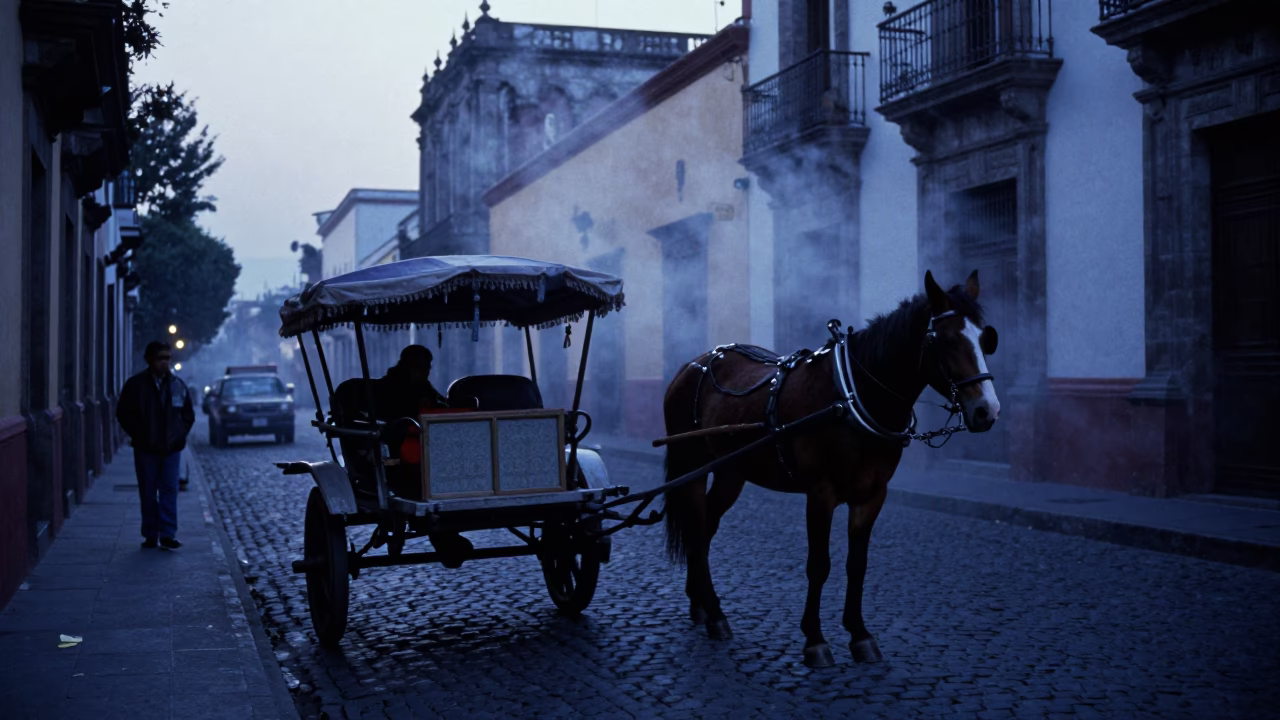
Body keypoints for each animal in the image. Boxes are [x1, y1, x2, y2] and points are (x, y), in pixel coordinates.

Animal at [661, 269, 1001, 668]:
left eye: (985, 338)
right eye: (944, 340)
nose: (987, 410)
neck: (851, 397)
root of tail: (691, 365)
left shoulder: (872, 495)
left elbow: (857, 564)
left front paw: (860, 634)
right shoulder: (820, 493)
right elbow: (819, 564)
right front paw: (815, 640)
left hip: (732, 471)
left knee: (705, 527)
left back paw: (702, 605)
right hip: (692, 466)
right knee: (696, 525)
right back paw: (714, 613)